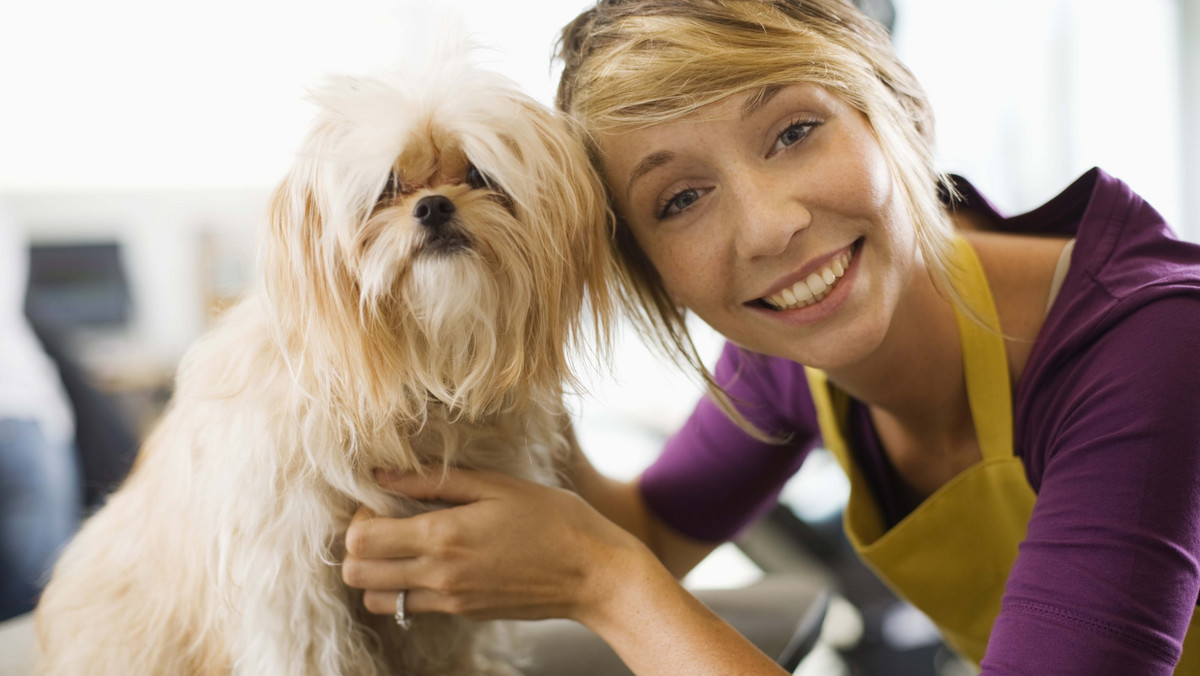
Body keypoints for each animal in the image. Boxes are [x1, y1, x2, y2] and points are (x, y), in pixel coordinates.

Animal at [32, 54, 614, 676]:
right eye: (387, 188)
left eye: (480, 176)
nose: (433, 205)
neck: (417, 366)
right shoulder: (290, 581)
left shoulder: (433, 594)